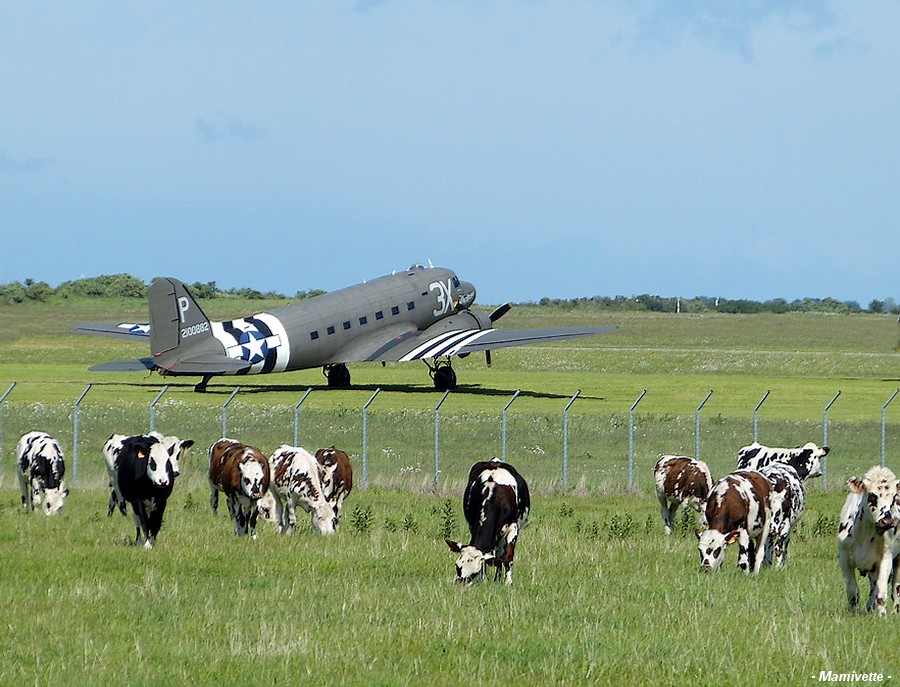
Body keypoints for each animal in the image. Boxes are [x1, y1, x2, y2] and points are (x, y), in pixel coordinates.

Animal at [446, 456, 532, 584]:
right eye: (457, 566)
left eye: (474, 572)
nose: (459, 583)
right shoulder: (472, 524)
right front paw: (484, 578)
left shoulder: (513, 527)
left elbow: (507, 557)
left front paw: (508, 582)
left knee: (500, 555)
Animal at [836, 464, 900, 616]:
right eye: (872, 495)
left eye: (894, 497)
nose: (887, 521)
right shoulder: (844, 559)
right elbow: (853, 593)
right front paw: (854, 613)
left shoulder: (886, 558)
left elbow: (881, 593)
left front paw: (882, 616)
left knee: (896, 588)